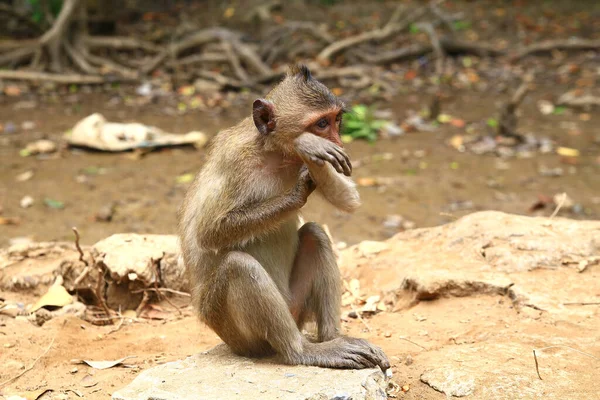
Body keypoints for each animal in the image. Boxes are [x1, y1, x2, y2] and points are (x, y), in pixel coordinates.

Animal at [179, 63, 390, 372]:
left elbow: (348, 200)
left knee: (315, 234)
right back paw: (302, 351)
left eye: (336, 120)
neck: (274, 154)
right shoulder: (234, 163)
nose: (338, 141)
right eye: (321, 124)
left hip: (296, 307)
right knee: (238, 265)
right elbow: (208, 233)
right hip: (237, 333)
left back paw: (332, 338)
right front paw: (308, 146)